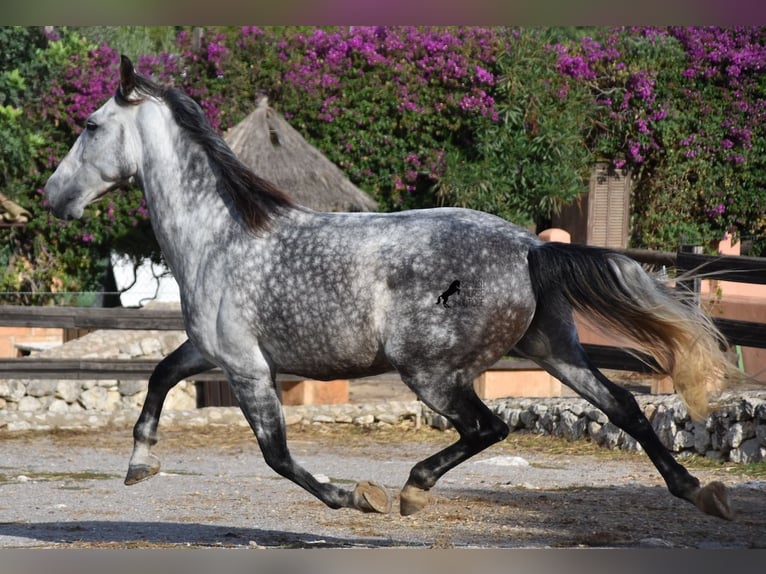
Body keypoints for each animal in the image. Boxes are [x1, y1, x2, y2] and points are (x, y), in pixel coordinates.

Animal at [45, 57, 736, 520]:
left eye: (90, 125)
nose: (53, 196)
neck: (220, 236)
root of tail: (530, 246)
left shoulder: (246, 367)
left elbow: (275, 453)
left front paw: (355, 497)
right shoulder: (210, 351)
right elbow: (160, 375)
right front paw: (140, 464)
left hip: (430, 372)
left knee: (489, 428)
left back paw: (410, 489)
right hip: (553, 348)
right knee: (622, 406)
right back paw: (699, 492)